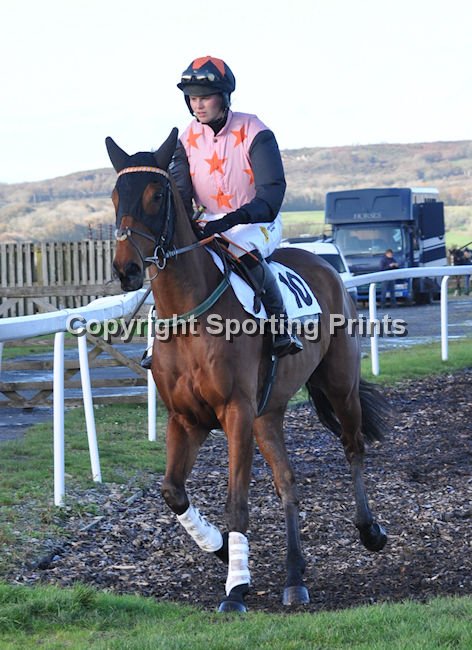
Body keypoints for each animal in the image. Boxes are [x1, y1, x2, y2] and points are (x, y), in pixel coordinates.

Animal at [107, 128, 391, 612]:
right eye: (114, 195)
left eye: (157, 194)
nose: (126, 269)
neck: (189, 316)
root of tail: (325, 265)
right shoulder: (186, 418)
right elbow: (172, 490)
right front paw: (221, 549)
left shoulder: (235, 411)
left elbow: (237, 500)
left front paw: (236, 587)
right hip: (267, 413)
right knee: (287, 482)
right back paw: (294, 577)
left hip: (339, 386)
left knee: (353, 447)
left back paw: (369, 530)